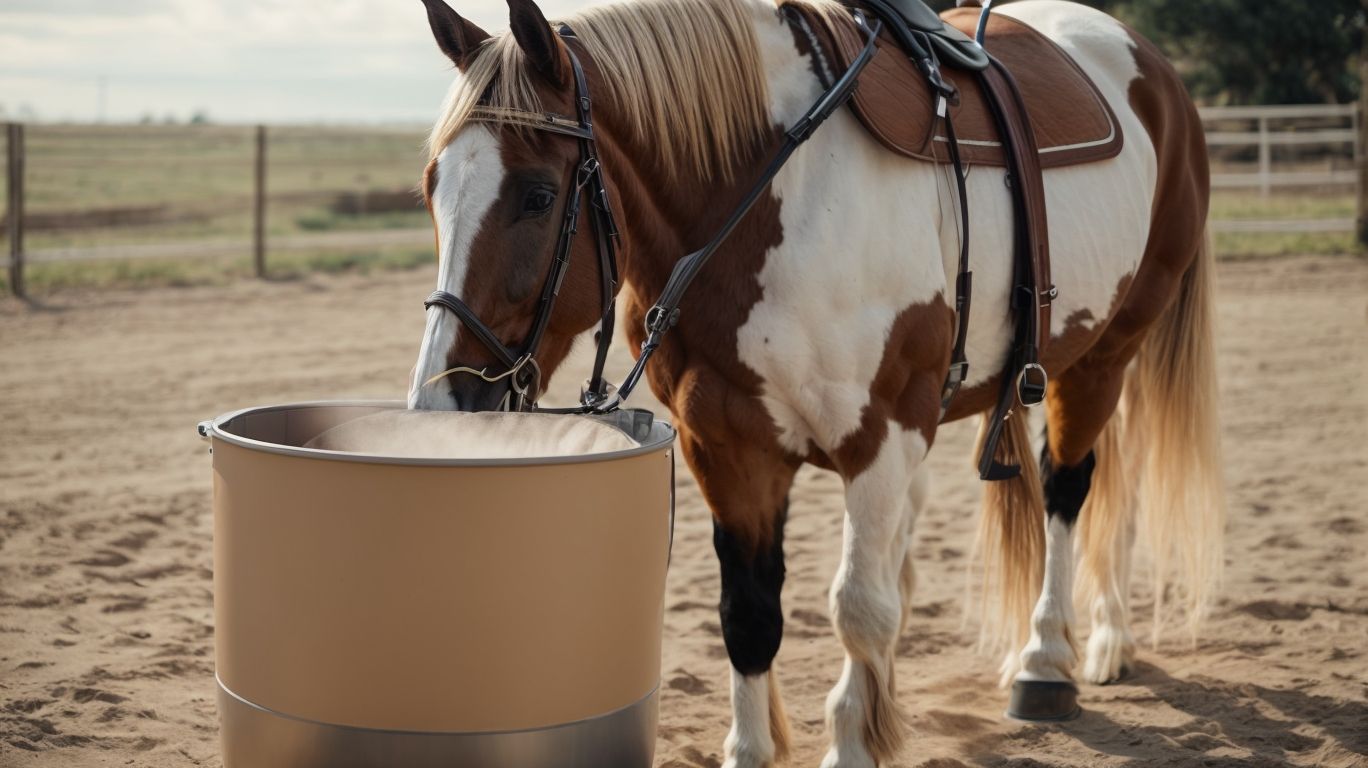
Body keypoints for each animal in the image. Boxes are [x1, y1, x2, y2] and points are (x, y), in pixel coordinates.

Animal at [406, 0, 1225, 764]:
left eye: (539, 195)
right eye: (431, 189)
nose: (442, 400)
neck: (771, 196)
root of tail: (1149, 64)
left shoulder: (882, 434)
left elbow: (857, 606)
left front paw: (856, 739)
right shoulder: (725, 447)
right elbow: (747, 615)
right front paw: (752, 747)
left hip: (1109, 352)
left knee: (1072, 488)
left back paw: (1050, 659)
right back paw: (1105, 637)